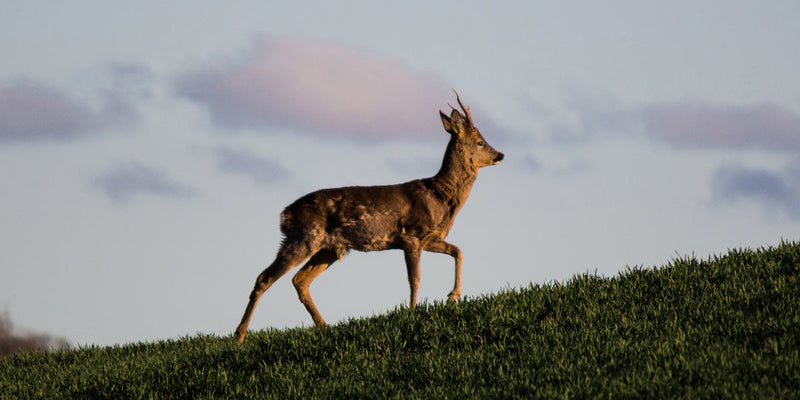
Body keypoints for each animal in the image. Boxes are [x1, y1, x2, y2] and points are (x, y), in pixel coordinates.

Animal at [234, 90, 504, 342]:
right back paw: (239, 335)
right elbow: (414, 278)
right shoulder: (411, 235)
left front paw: (453, 296)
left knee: (300, 280)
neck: (439, 196)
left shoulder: (431, 238)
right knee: (264, 278)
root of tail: (285, 214)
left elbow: (458, 251)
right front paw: (413, 312)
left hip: (328, 248)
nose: (499, 155)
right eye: (480, 142)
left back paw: (324, 326)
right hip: (304, 238)